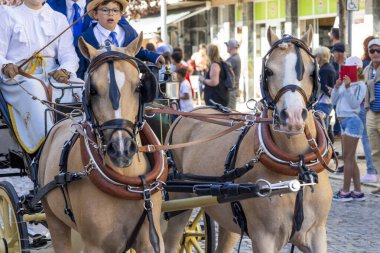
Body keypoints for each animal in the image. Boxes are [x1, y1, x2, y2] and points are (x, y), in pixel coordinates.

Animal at [38, 33, 166, 251]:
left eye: (139, 87)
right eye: (93, 90)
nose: (122, 149)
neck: (124, 180)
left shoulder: (151, 241)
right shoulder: (94, 245)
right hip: (54, 220)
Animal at [163, 26, 332, 253]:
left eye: (312, 71)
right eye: (269, 71)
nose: (293, 117)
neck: (296, 167)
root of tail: (186, 113)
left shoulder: (316, 234)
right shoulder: (264, 238)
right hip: (178, 203)